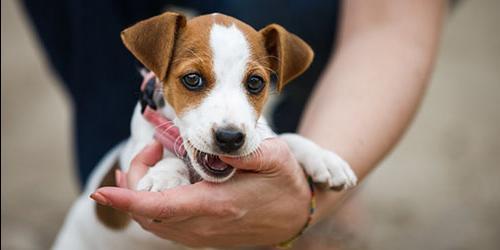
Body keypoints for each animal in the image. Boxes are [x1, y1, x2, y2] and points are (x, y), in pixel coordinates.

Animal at [52, 12, 358, 250]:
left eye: (255, 82)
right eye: (192, 79)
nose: (230, 138)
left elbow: (286, 139)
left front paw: (324, 158)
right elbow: (165, 155)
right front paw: (165, 177)